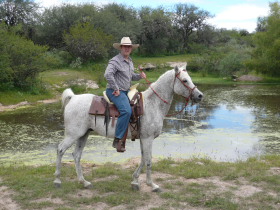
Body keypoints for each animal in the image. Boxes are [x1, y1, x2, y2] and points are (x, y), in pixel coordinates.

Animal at [53, 65, 203, 192]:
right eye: (184, 80)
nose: (200, 95)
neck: (152, 105)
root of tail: (73, 98)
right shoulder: (148, 138)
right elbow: (148, 160)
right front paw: (152, 185)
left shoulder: (144, 138)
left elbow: (143, 158)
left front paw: (135, 181)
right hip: (73, 134)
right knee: (60, 150)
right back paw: (57, 180)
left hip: (83, 135)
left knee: (76, 155)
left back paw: (84, 182)